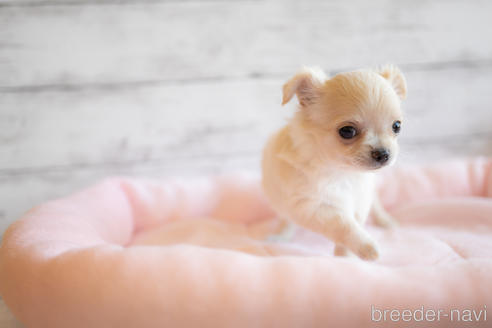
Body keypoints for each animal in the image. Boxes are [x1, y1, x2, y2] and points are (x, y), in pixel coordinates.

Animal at [262, 64, 408, 262]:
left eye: (396, 126)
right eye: (347, 131)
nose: (383, 153)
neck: (342, 172)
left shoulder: (360, 200)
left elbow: (353, 223)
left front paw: (345, 257)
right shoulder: (309, 206)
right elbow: (343, 225)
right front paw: (365, 247)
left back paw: (385, 220)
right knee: (285, 218)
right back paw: (280, 235)